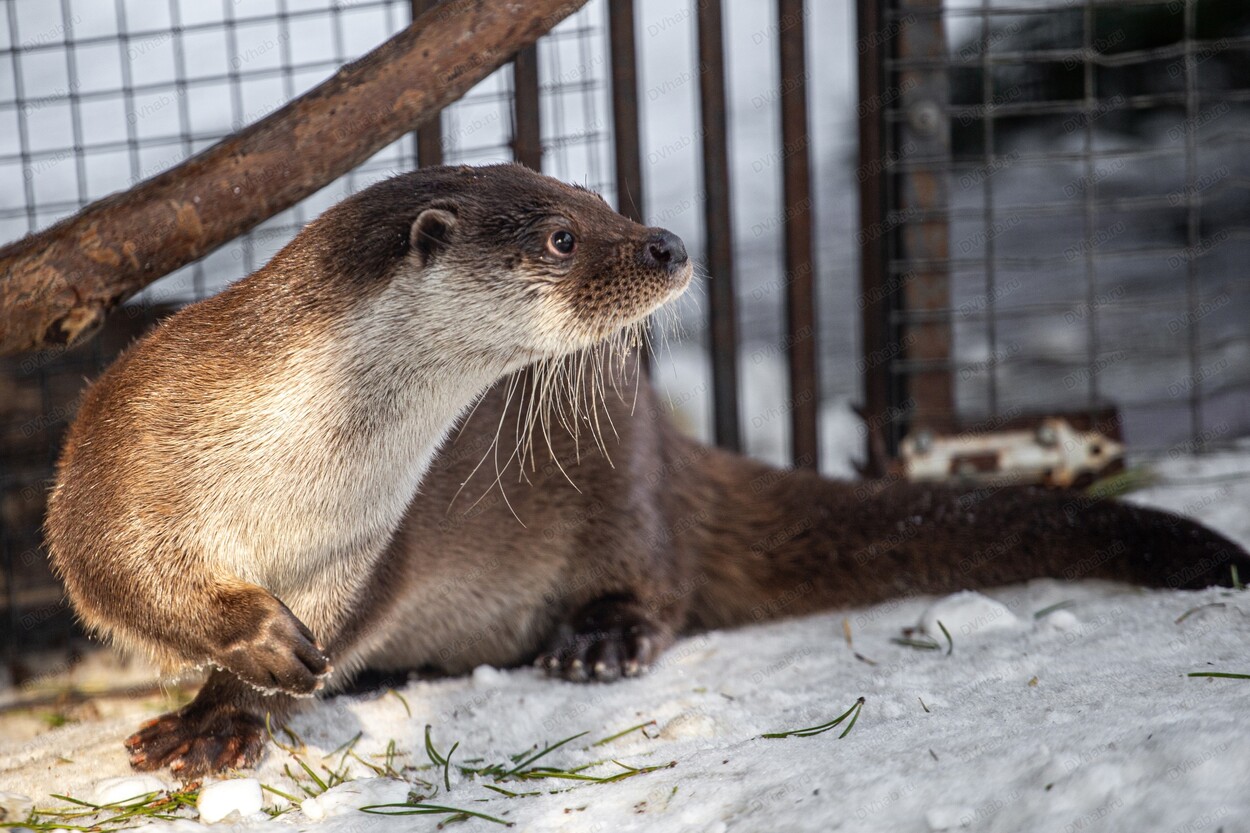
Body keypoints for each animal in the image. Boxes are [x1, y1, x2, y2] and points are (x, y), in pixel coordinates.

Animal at [44, 165, 1245, 775]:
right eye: (562, 236)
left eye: (602, 198)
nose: (666, 241)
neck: (299, 465)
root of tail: (671, 447)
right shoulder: (117, 450)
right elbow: (117, 572)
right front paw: (234, 654)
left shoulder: (361, 553)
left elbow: (313, 642)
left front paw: (228, 711)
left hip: (618, 483)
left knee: (660, 583)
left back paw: (598, 639)